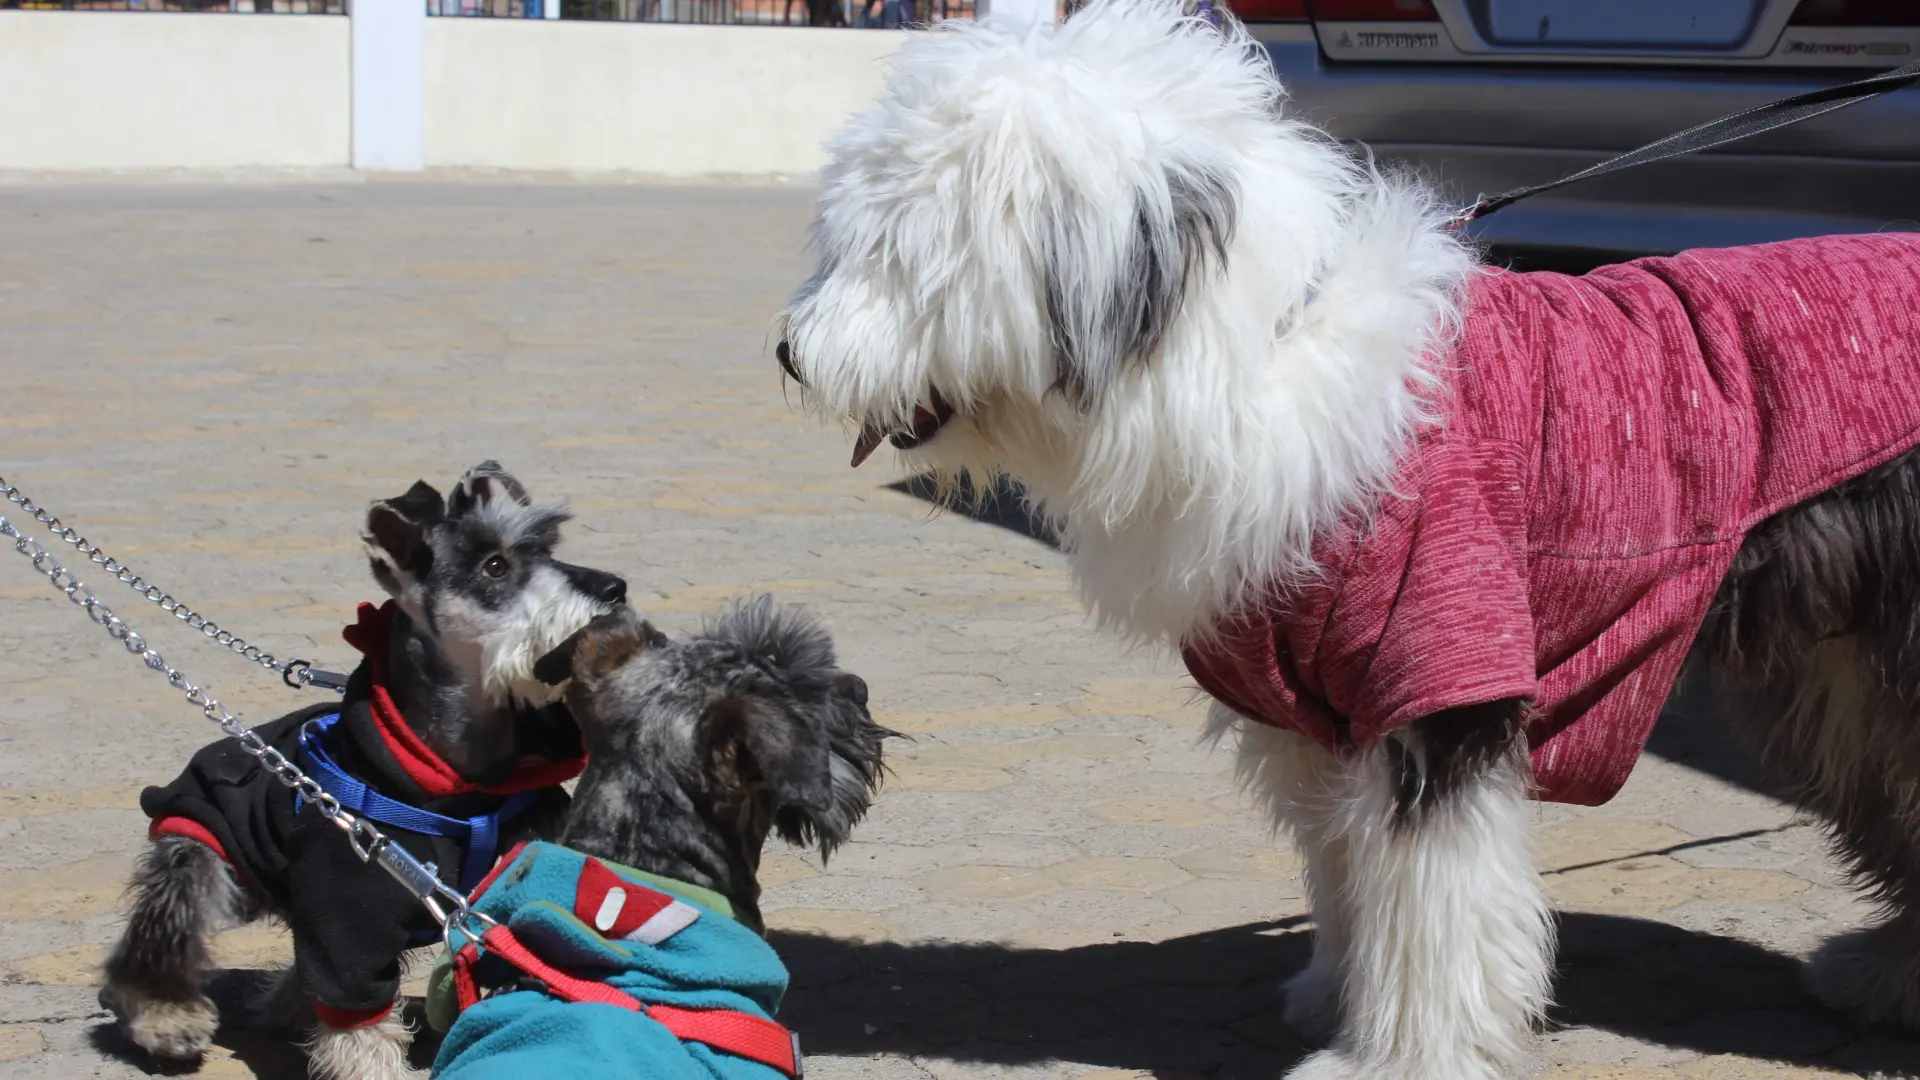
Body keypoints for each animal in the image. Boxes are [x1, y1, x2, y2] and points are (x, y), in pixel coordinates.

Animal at [771, 4, 1920, 1068]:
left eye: (899, 247)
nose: (787, 354)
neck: (1254, 357)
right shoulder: (1319, 703)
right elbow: (1353, 874)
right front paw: (1337, 996)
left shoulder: (1440, 665)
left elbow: (1433, 899)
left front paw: (1403, 1056)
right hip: (1843, 684)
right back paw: (1881, 973)